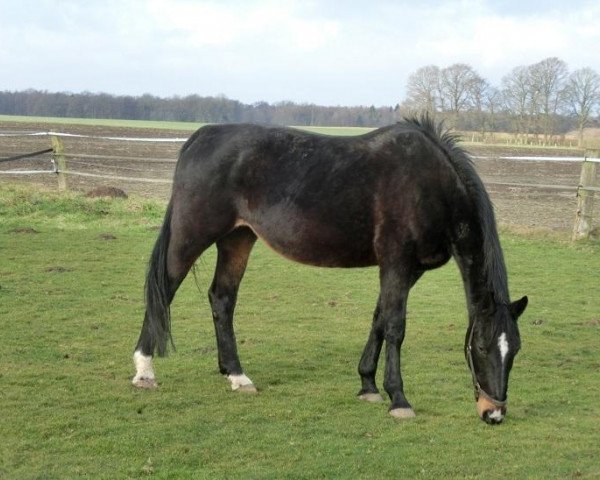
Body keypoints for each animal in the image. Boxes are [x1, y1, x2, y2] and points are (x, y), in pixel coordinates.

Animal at [134, 115, 528, 424]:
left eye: (515, 350)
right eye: (481, 347)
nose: (493, 413)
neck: (430, 184)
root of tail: (201, 137)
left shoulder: (407, 270)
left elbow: (379, 319)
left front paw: (368, 385)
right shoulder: (397, 262)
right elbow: (395, 327)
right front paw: (398, 399)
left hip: (238, 238)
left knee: (222, 298)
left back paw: (236, 375)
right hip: (192, 235)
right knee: (164, 291)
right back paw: (144, 370)